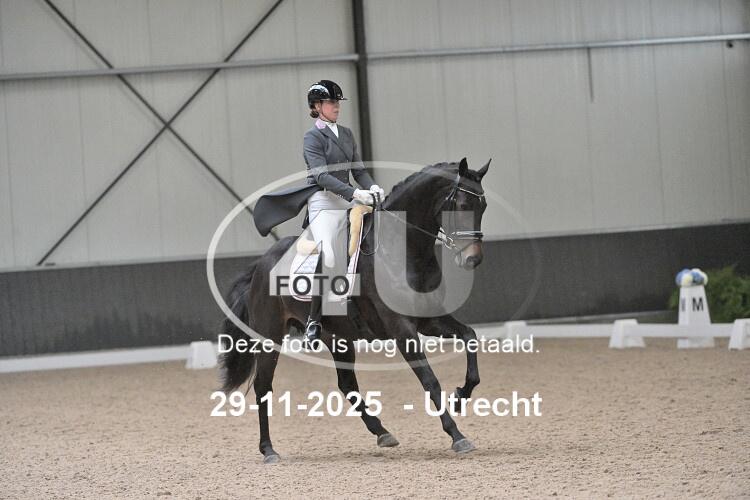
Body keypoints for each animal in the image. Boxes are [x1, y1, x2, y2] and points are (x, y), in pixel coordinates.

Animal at [219, 157, 490, 464]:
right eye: (463, 205)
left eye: (483, 206)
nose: (472, 259)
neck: (403, 249)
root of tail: (260, 264)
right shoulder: (401, 329)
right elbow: (429, 380)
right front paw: (456, 434)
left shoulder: (429, 320)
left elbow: (469, 337)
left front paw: (461, 395)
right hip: (270, 338)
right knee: (263, 387)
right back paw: (268, 450)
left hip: (338, 338)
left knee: (347, 384)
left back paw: (382, 432)